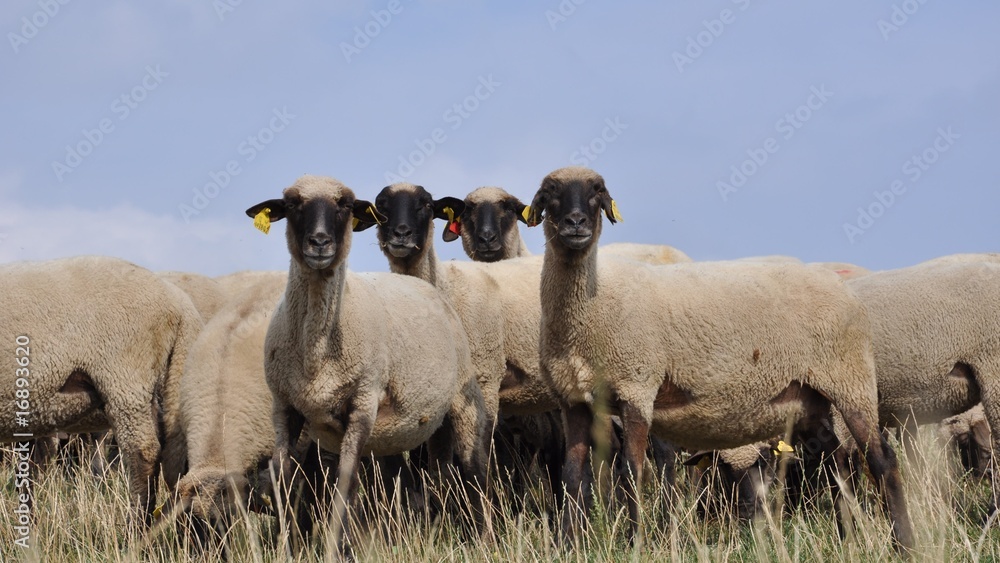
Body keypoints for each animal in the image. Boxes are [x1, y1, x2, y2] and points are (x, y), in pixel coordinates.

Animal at [245, 175, 489, 554]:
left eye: (345, 204)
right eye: (292, 204)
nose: (320, 241)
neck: (316, 353)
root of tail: (418, 281)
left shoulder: (361, 405)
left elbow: (345, 485)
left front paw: (338, 550)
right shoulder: (285, 408)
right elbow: (283, 480)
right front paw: (289, 548)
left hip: (462, 400)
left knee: (472, 467)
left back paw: (482, 538)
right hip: (405, 429)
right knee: (435, 474)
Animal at [525, 166, 913, 551]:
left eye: (598, 191)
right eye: (549, 191)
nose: (576, 222)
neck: (591, 306)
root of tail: (843, 288)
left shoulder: (636, 386)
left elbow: (631, 471)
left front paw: (635, 544)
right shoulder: (572, 399)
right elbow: (572, 476)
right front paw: (565, 546)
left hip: (851, 380)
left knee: (881, 459)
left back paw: (904, 544)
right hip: (810, 398)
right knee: (836, 462)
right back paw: (848, 538)